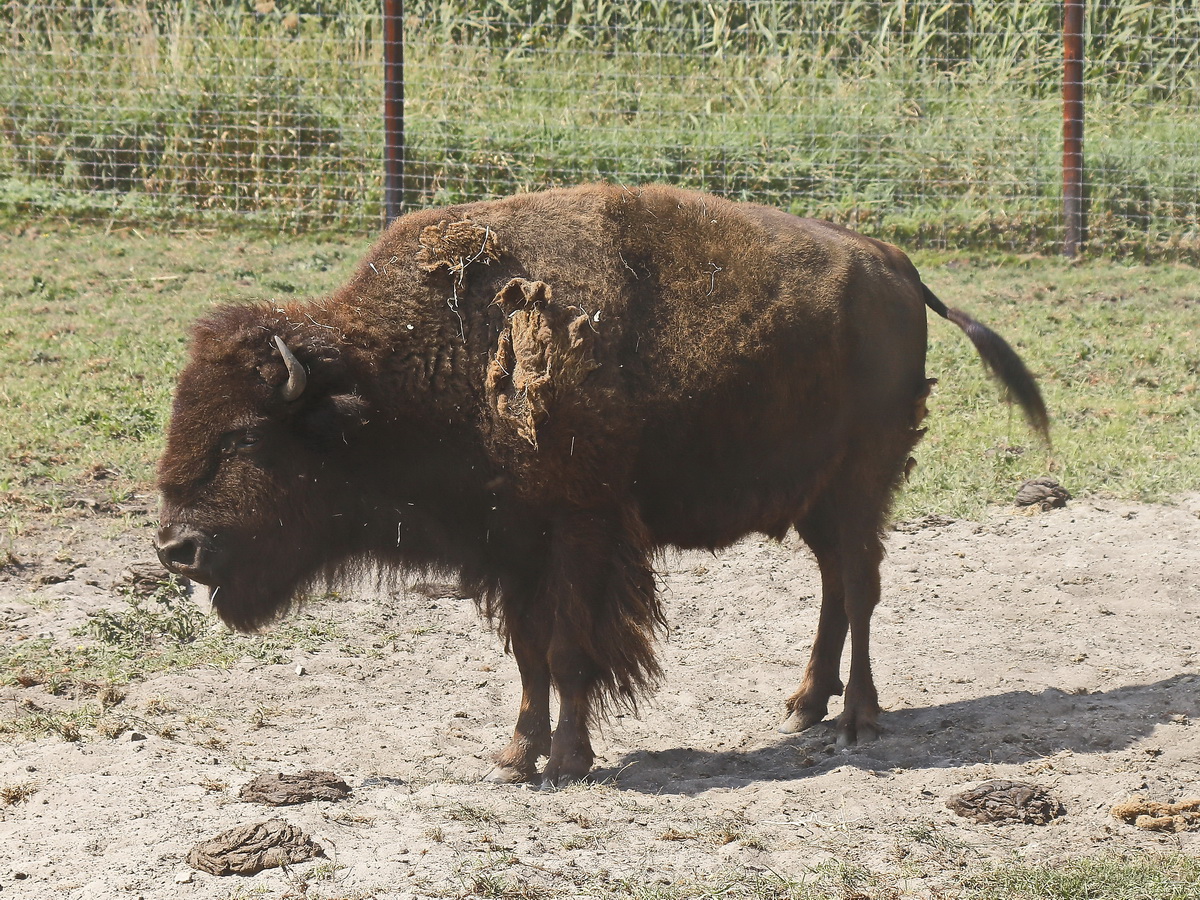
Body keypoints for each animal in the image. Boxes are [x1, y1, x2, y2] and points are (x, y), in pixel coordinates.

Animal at [154, 184, 1046, 787]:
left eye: (243, 437)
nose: (174, 548)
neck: (395, 372)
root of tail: (898, 268)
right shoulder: (509, 549)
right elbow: (528, 658)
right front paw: (516, 755)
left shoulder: (578, 532)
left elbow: (566, 650)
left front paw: (569, 760)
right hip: (814, 500)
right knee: (837, 583)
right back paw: (803, 706)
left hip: (860, 484)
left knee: (859, 586)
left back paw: (857, 719)